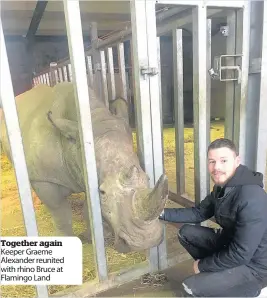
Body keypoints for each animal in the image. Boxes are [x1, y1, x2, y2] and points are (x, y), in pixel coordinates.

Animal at [0, 82, 170, 254]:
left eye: (148, 179)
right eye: (103, 192)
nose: (146, 242)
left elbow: (89, 209)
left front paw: (91, 237)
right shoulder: (45, 179)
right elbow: (61, 213)